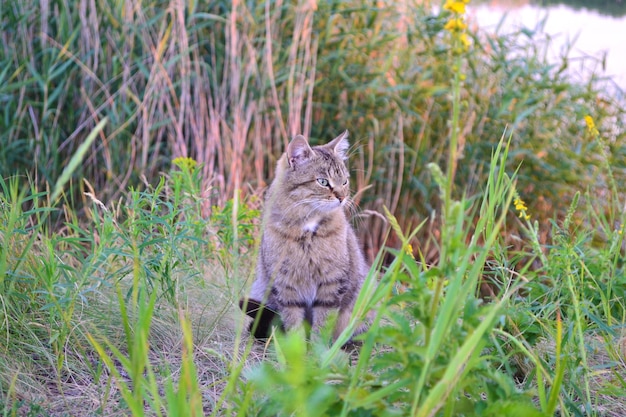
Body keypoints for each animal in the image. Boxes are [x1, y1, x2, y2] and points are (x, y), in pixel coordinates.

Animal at [238, 131, 366, 342]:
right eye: (323, 181)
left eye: (345, 181)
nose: (342, 197)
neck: (307, 229)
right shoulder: (285, 284)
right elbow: (293, 321)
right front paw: (296, 346)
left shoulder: (332, 283)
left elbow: (323, 322)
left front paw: (316, 347)